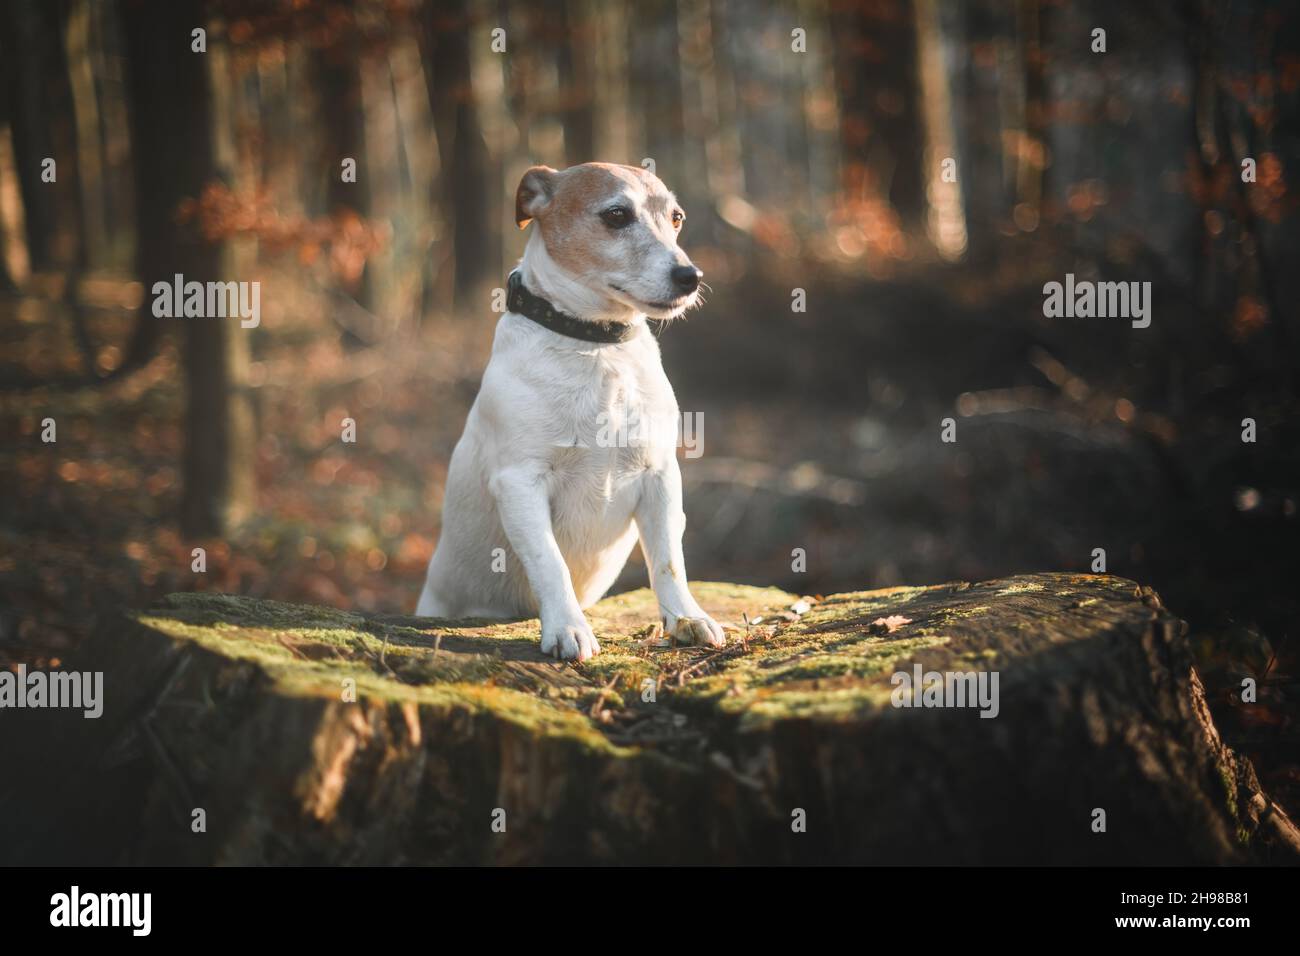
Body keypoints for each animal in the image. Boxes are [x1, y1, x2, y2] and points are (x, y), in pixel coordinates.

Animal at [413, 162, 722, 658]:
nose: (689, 276)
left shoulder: (660, 475)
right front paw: (568, 628)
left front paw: (687, 617)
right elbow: (549, 562)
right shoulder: (521, 482)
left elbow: (669, 560)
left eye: (676, 218)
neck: (596, 347)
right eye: (616, 215)